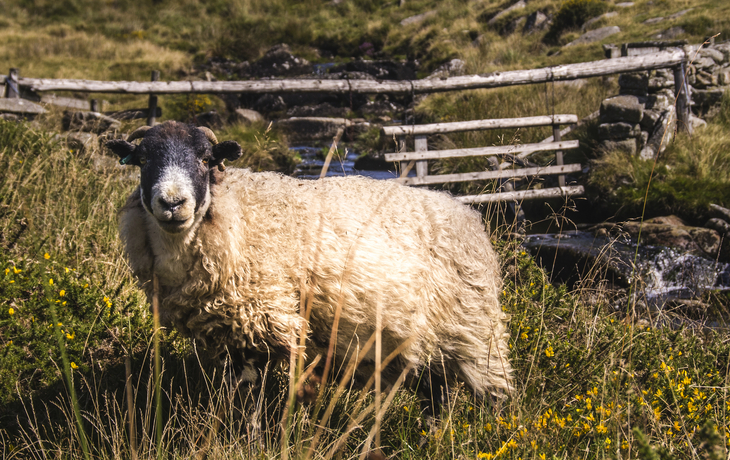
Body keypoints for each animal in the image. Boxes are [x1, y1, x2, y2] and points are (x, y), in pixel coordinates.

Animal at [106, 120, 512, 417]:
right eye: (142, 161)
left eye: (206, 160)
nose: (173, 203)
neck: (235, 215)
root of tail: (467, 215)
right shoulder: (236, 334)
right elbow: (239, 397)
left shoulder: (267, 322)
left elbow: (260, 401)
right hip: (431, 344)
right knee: (436, 396)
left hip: (477, 334)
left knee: (494, 396)